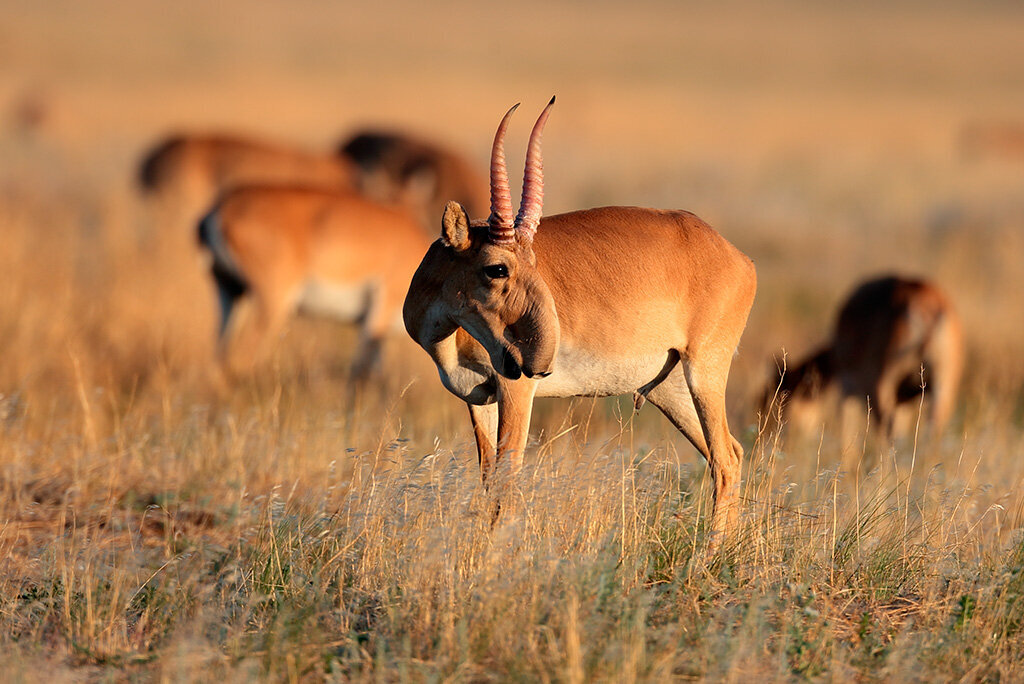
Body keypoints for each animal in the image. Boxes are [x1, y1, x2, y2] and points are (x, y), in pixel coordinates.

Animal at [197, 184, 430, 376]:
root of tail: (220, 208)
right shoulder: (378, 315)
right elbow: (360, 373)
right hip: (274, 303)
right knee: (239, 360)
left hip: (230, 293)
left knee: (217, 359)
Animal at [403, 100, 757, 540]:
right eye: (497, 268)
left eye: (533, 261)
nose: (539, 360)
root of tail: (738, 258)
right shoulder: (477, 398)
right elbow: (488, 480)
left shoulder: (514, 389)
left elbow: (507, 481)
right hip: (669, 390)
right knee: (730, 454)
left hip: (704, 373)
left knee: (725, 459)